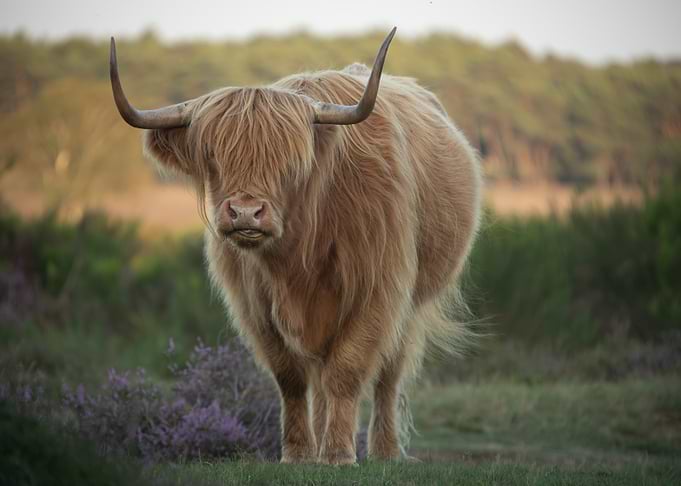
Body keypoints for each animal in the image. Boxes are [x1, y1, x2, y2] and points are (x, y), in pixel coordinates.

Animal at [109, 27, 482, 465]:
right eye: (212, 156)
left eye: (288, 160)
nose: (246, 213)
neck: (303, 243)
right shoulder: (253, 302)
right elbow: (289, 376)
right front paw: (299, 453)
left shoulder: (378, 289)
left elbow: (348, 369)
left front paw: (338, 454)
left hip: (412, 305)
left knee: (388, 374)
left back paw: (385, 451)